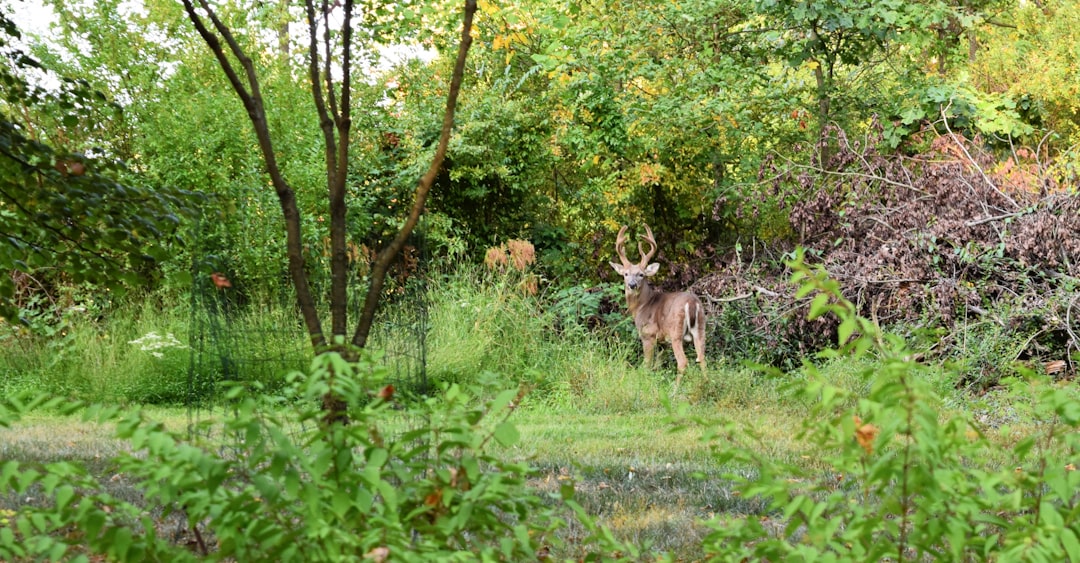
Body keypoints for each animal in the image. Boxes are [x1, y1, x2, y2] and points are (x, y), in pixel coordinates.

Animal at [613, 221, 704, 389]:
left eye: (641, 274)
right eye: (626, 274)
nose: (632, 285)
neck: (642, 306)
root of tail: (692, 303)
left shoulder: (648, 335)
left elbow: (647, 365)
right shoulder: (663, 343)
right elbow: (657, 366)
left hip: (676, 333)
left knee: (683, 362)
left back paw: (675, 390)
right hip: (701, 328)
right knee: (702, 359)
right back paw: (706, 383)